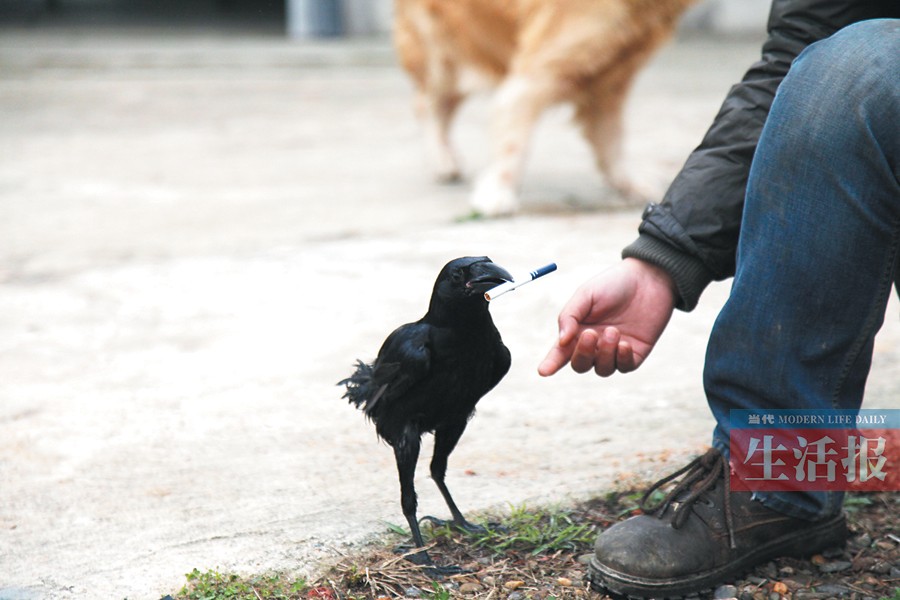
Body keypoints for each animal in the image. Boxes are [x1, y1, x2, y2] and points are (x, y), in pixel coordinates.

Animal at [398, 0, 700, 216]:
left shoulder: (611, 73)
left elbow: (611, 139)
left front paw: (629, 184)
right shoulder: (545, 64)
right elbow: (514, 132)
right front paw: (497, 193)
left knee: (443, 105)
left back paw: (448, 160)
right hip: (441, 52)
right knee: (426, 103)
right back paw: (442, 160)